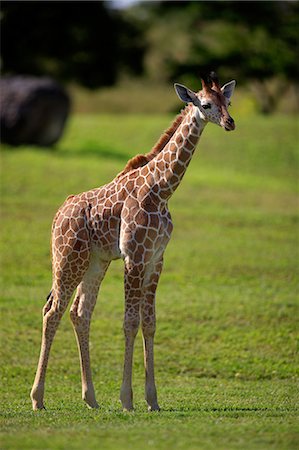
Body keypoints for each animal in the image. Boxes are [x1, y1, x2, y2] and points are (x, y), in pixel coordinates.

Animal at [30, 73, 237, 412]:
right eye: (206, 104)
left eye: (228, 101)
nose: (230, 122)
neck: (162, 189)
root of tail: (59, 213)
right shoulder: (134, 256)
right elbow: (129, 321)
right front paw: (127, 399)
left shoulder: (156, 258)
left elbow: (149, 322)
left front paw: (152, 399)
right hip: (67, 257)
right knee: (53, 311)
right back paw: (38, 399)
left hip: (95, 262)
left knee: (79, 312)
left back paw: (91, 399)